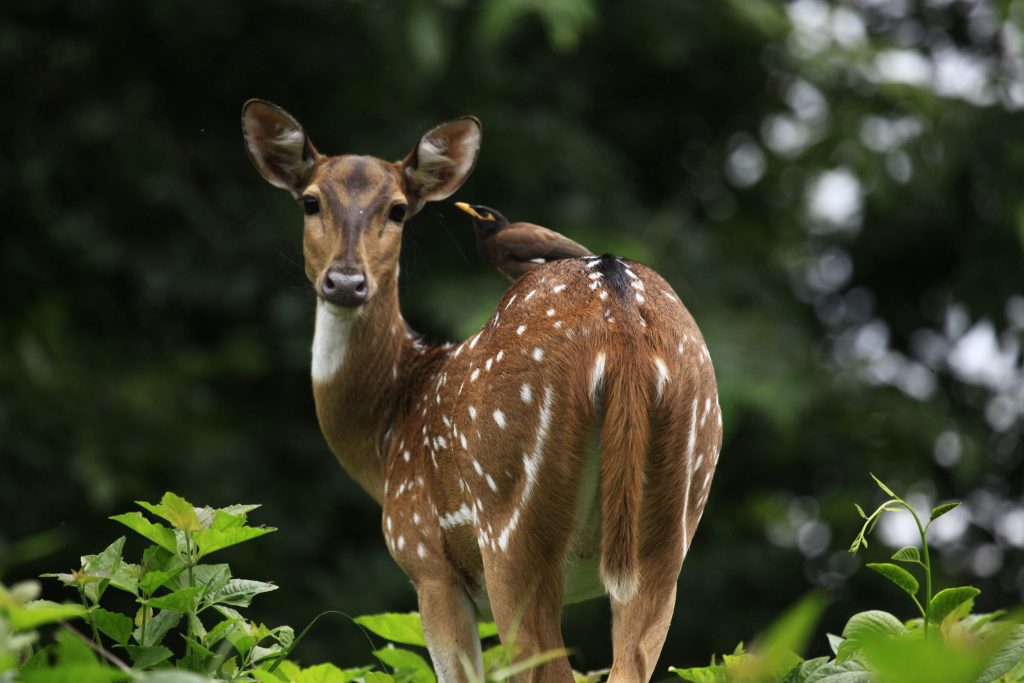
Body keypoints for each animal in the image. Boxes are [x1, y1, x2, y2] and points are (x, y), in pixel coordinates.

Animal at [240, 98, 724, 679]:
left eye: (398, 210)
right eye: (310, 201)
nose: (346, 282)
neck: (388, 430)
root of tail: (620, 319)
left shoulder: (424, 556)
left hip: (509, 525)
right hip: (671, 526)